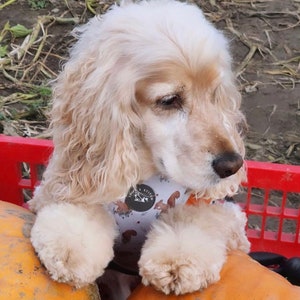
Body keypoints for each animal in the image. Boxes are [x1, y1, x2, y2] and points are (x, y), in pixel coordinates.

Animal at [29, 0, 251, 296]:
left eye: (215, 95)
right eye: (169, 100)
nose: (232, 165)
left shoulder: (223, 211)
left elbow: (198, 219)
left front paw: (178, 262)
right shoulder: (70, 184)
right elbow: (77, 211)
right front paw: (70, 252)